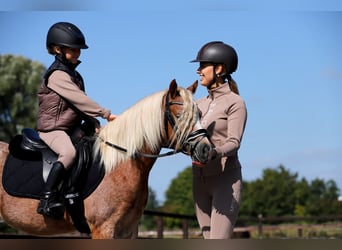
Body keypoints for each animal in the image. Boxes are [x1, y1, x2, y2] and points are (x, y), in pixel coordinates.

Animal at [0, 79, 212, 238]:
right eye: (180, 115)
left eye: (200, 113)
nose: (206, 149)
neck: (120, 164)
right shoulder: (104, 228)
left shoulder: (128, 230)